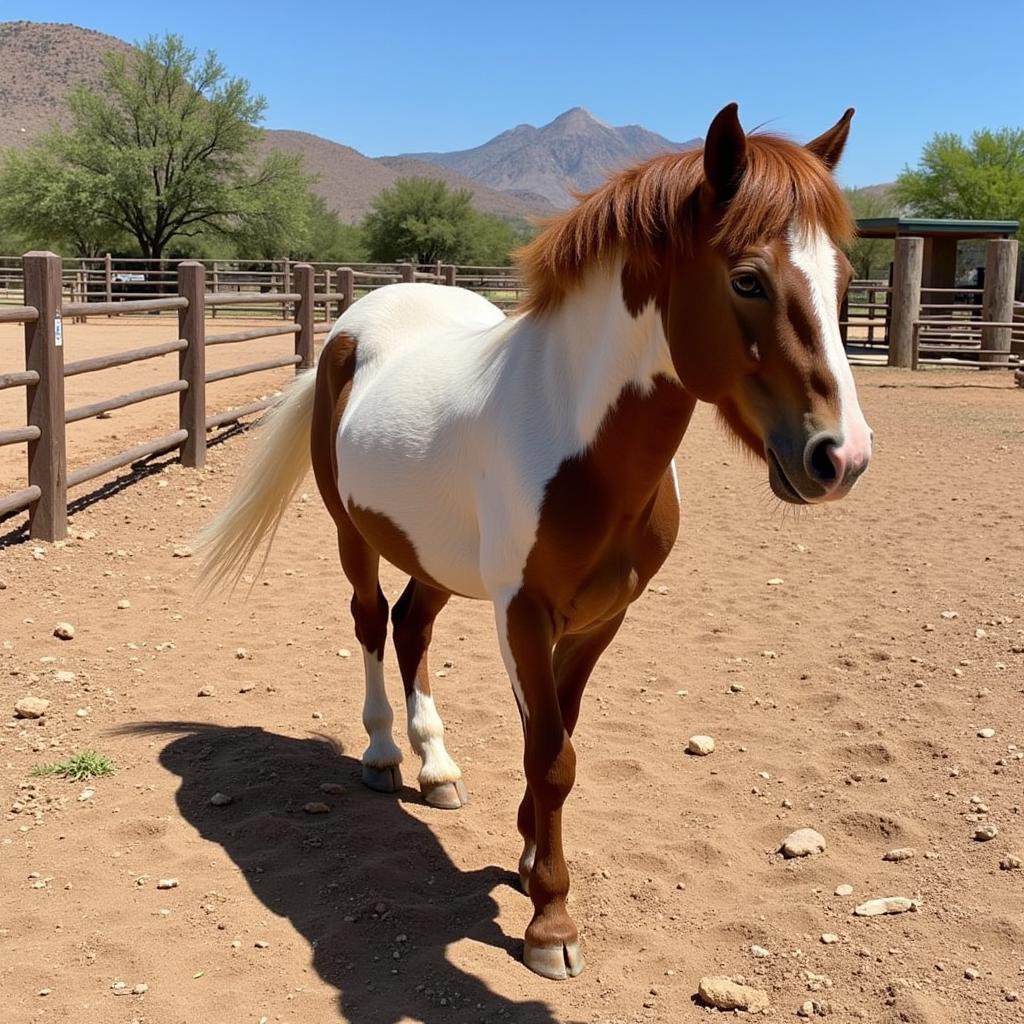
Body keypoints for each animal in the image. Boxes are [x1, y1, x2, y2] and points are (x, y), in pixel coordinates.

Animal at [199, 105, 872, 983]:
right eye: (748, 278)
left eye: (845, 281)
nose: (841, 457)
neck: (573, 435)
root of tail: (352, 328)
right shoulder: (522, 611)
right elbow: (550, 754)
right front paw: (551, 920)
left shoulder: (601, 617)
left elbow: (560, 739)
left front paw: (525, 860)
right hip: (356, 535)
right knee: (372, 623)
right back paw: (383, 756)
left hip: (436, 555)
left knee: (412, 628)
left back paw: (438, 769)